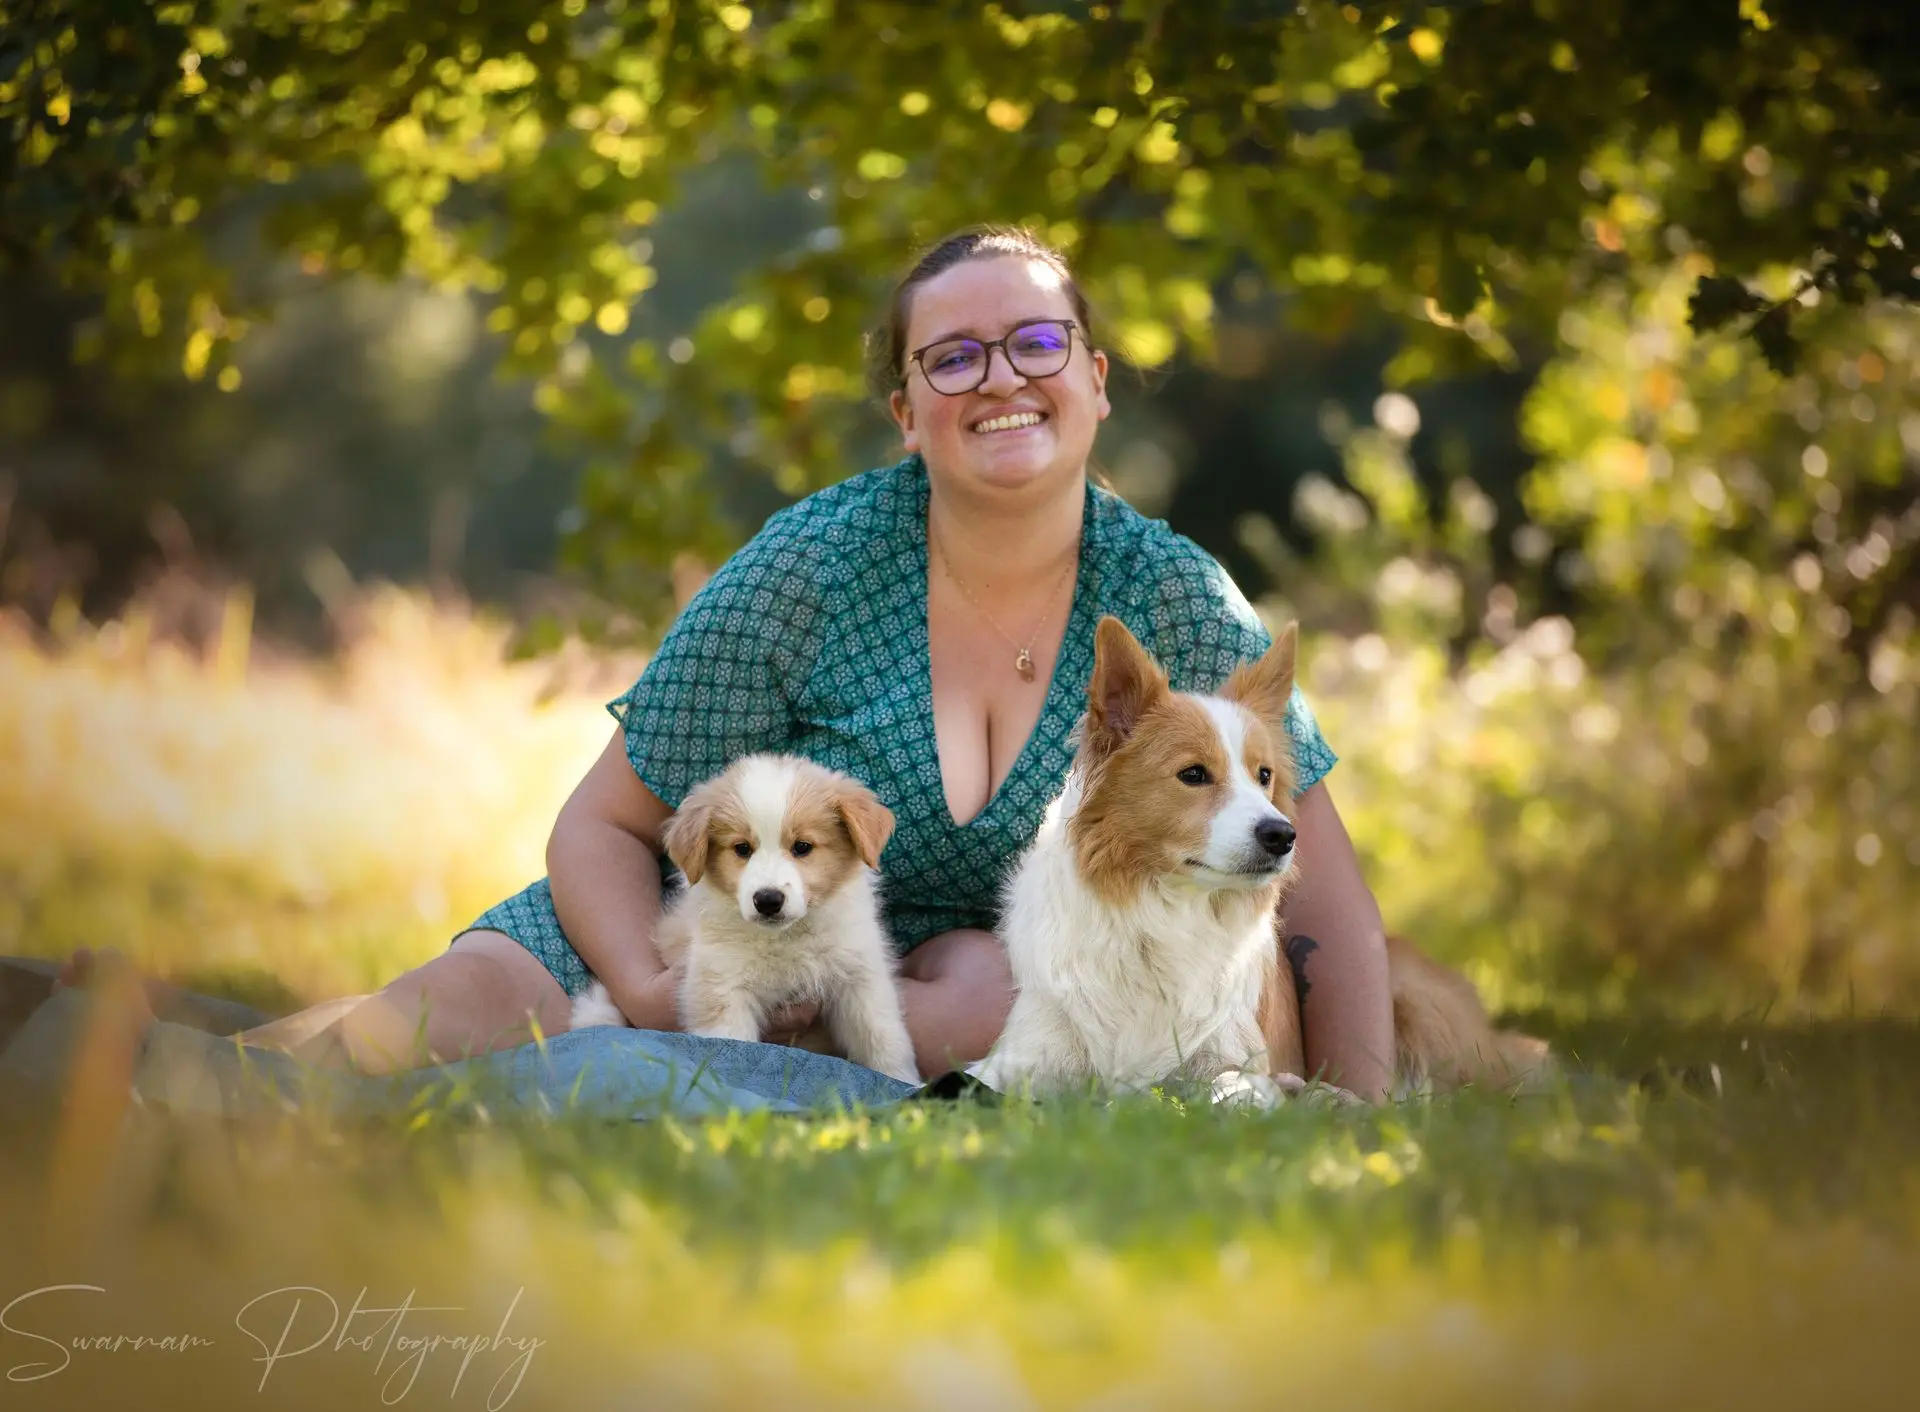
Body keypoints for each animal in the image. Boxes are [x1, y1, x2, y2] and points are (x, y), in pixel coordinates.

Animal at [569, 754, 921, 1085]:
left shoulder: (860, 977)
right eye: (742, 848)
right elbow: (735, 1049)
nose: (768, 900)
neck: (785, 940)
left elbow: (883, 1038)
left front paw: (904, 1085)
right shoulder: (721, 987)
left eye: (802, 847)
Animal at [971, 615, 1549, 1102]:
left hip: (1414, 996)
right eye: (1193, 774)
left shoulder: (1234, 1057)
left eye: (1264, 775)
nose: (1283, 835)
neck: (1165, 915)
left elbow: (1228, 1089)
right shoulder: (1024, 1054)